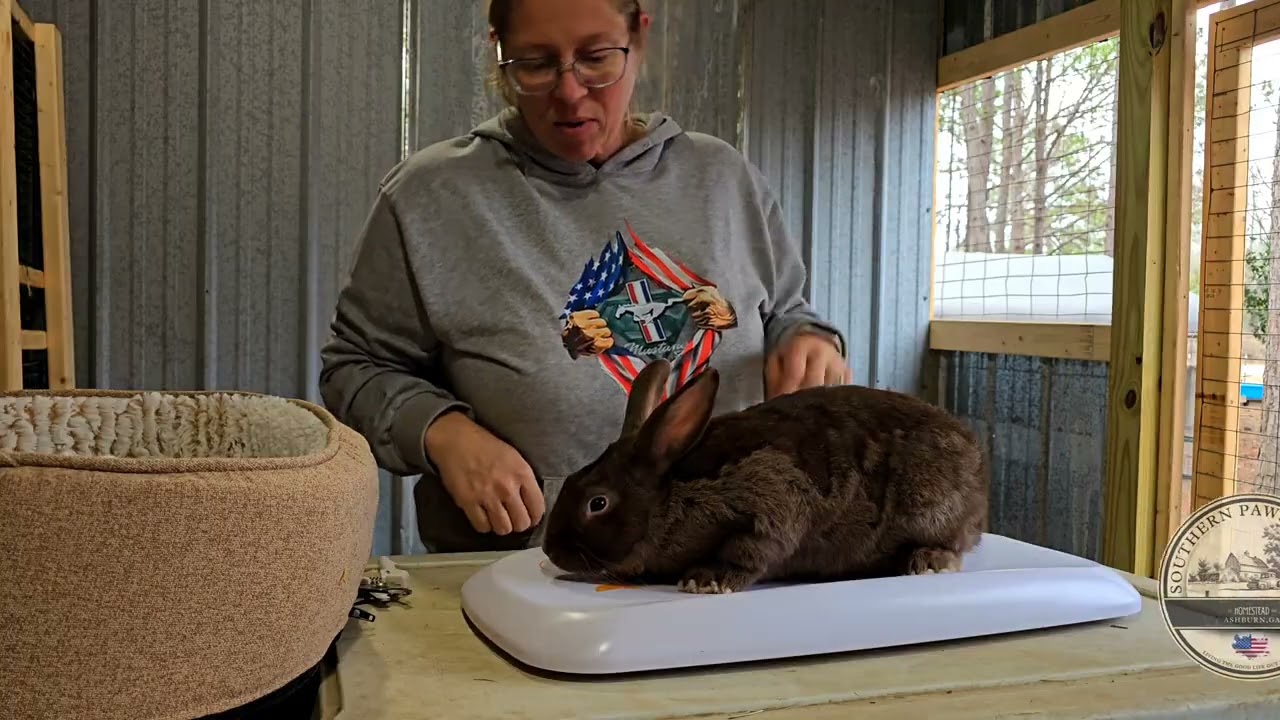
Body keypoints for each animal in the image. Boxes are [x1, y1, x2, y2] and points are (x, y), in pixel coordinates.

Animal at [539, 357, 989, 594]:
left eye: (598, 503)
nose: (550, 552)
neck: (669, 497)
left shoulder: (769, 502)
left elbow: (753, 550)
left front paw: (706, 580)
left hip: (932, 506)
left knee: (950, 545)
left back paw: (926, 562)